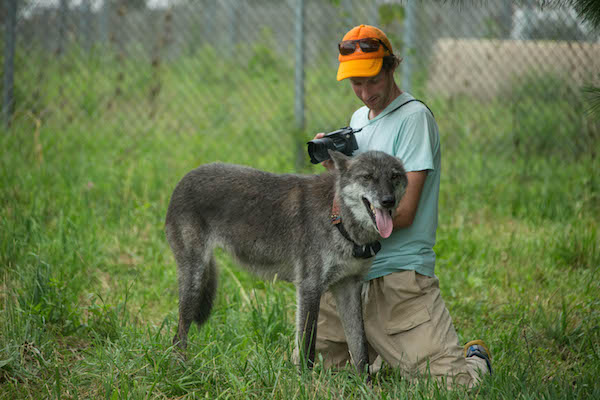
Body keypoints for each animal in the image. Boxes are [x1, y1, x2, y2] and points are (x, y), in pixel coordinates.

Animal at [165, 150, 408, 374]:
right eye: (367, 177)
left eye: (395, 176)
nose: (388, 201)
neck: (337, 216)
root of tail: (183, 179)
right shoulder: (310, 288)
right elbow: (307, 345)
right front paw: (305, 382)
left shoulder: (348, 287)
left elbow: (360, 349)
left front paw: (364, 385)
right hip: (193, 282)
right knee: (179, 335)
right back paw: (180, 370)